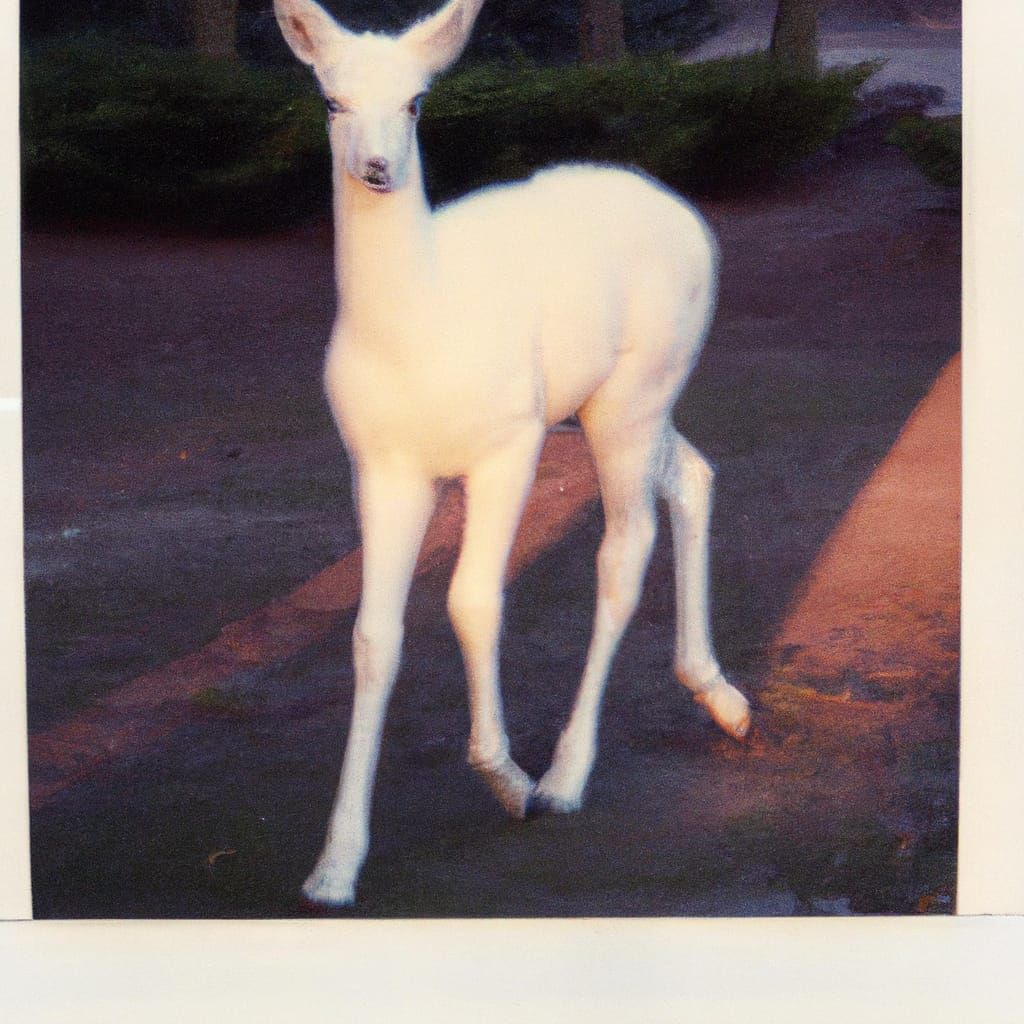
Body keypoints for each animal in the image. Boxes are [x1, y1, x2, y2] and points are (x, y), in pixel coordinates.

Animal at [273, 0, 751, 907]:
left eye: (418, 100)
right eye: (331, 101)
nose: (378, 167)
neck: (418, 329)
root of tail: (688, 219)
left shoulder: (508, 442)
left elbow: (472, 600)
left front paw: (507, 779)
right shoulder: (380, 466)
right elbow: (372, 635)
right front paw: (333, 868)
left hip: (635, 393)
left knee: (623, 548)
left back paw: (566, 777)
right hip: (620, 401)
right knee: (696, 474)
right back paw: (722, 696)